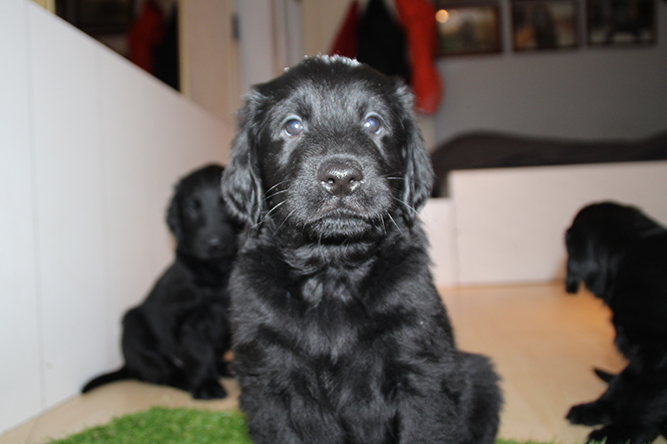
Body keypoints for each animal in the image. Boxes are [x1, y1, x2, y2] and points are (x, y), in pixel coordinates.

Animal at [82, 164, 238, 399]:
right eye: (192, 208)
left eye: (227, 205)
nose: (214, 243)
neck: (217, 271)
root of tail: (129, 366)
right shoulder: (191, 318)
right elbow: (199, 352)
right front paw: (205, 385)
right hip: (133, 328)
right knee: (161, 373)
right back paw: (187, 381)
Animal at [220, 55, 501, 444]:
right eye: (292, 126)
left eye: (373, 122)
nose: (341, 178)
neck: (332, 271)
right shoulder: (267, 378)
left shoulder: (422, 365)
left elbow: (426, 429)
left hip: (480, 374)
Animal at [565, 201, 667, 444]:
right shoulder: (638, 351)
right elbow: (623, 382)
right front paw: (594, 410)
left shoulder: (659, 354)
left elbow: (645, 397)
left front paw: (621, 432)